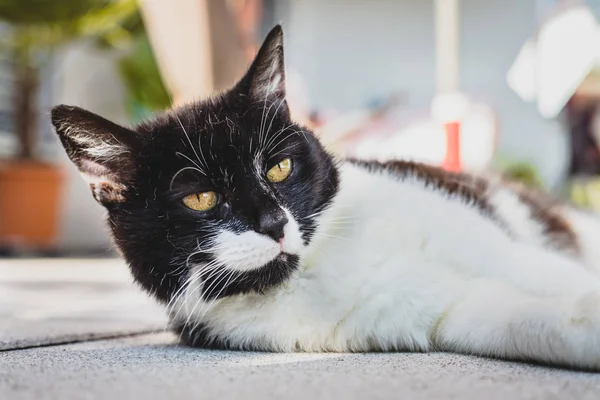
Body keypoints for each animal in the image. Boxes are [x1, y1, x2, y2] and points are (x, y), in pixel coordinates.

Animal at [52, 25, 600, 372]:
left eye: (278, 167)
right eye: (201, 198)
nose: (273, 223)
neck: (323, 263)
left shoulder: (493, 247)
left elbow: (536, 271)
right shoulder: (444, 310)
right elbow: (523, 320)